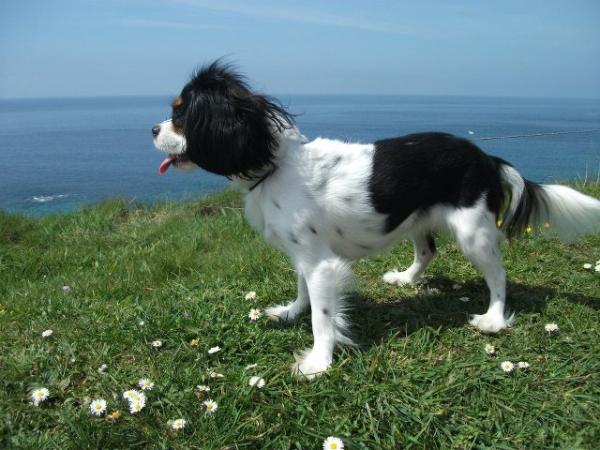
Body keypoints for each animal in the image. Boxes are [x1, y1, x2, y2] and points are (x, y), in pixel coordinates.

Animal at [152, 59, 600, 376]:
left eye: (182, 115)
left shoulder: (320, 263)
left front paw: (318, 362)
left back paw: (493, 318)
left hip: (473, 233)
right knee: (428, 252)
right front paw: (291, 312)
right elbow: (301, 290)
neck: (277, 164)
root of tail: (486, 157)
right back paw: (405, 278)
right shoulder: (302, 254)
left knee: (498, 274)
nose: (153, 129)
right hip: (419, 220)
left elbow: (322, 316)